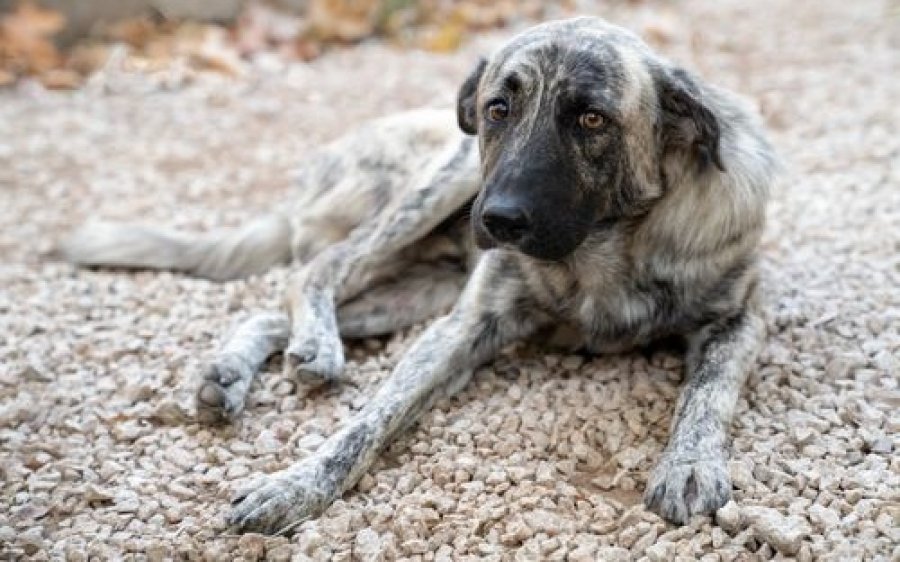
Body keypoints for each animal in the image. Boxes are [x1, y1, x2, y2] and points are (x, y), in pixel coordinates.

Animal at [63, 17, 780, 532]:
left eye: (591, 118)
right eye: (497, 109)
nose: (498, 219)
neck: (606, 248)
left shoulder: (739, 317)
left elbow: (707, 391)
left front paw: (689, 464)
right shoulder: (464, 327)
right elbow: (368, 420)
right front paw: (296, 484)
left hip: (423, 285)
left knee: (277, 305)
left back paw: (234, 372)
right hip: (440, 186)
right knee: (316, 270)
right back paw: (312, 346)